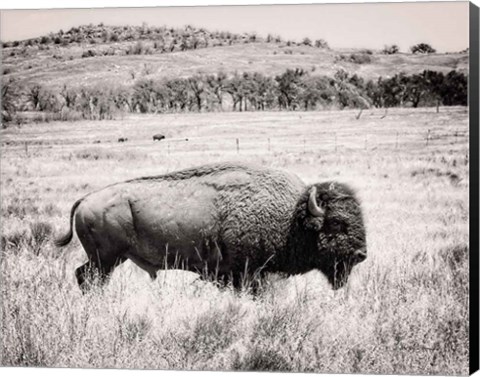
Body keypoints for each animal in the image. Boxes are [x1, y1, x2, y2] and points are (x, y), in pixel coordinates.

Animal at [54, 162, 366, 290]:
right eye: (337, 223)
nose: (361, 254)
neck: (291, 217)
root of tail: (86, 199)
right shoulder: (248, 274)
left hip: (107, 260)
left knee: (83, 275)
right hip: (106, 259)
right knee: (88, 278)